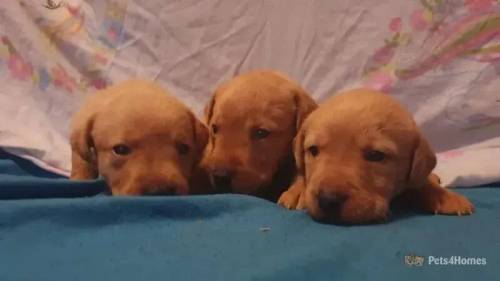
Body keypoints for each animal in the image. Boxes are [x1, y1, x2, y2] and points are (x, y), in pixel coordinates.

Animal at [280, 88, 474, 222]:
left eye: (376, 155)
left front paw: (445, 196)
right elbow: (301, 175)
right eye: (313, 150)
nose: (328, 200)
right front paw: (298, 192)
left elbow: (421, 182)